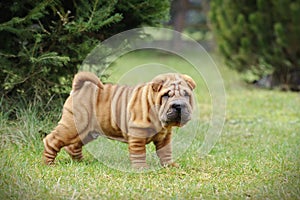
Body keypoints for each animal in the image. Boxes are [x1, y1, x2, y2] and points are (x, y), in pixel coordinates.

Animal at [42, 72, 197, 169]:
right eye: (166, 95)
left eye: (186, 94)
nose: (178, 105)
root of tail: (78, 88)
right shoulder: (137, 135)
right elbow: (139, 152)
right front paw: (141, 168)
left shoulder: (165, 137)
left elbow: (166, 152)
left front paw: (170, 165)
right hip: (72, 126)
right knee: (52, 140)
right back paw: (49, 163)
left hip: (86, 131)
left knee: (73, 146)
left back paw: (81, 162)